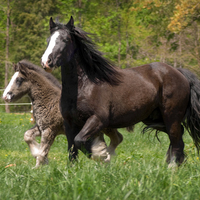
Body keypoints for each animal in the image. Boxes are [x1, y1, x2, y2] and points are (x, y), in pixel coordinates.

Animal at [41, 16, 200, 166]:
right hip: (154, 118)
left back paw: (172, 168)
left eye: (65, 39)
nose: (46, 62)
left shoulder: (98, 119)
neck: (84, 86)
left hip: (171, 116)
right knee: (178, 137)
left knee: (176, 140)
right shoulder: (69, 124)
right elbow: (72, 150)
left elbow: (80, 140)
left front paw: (101, 154)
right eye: (48, 40)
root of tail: (179, 73)